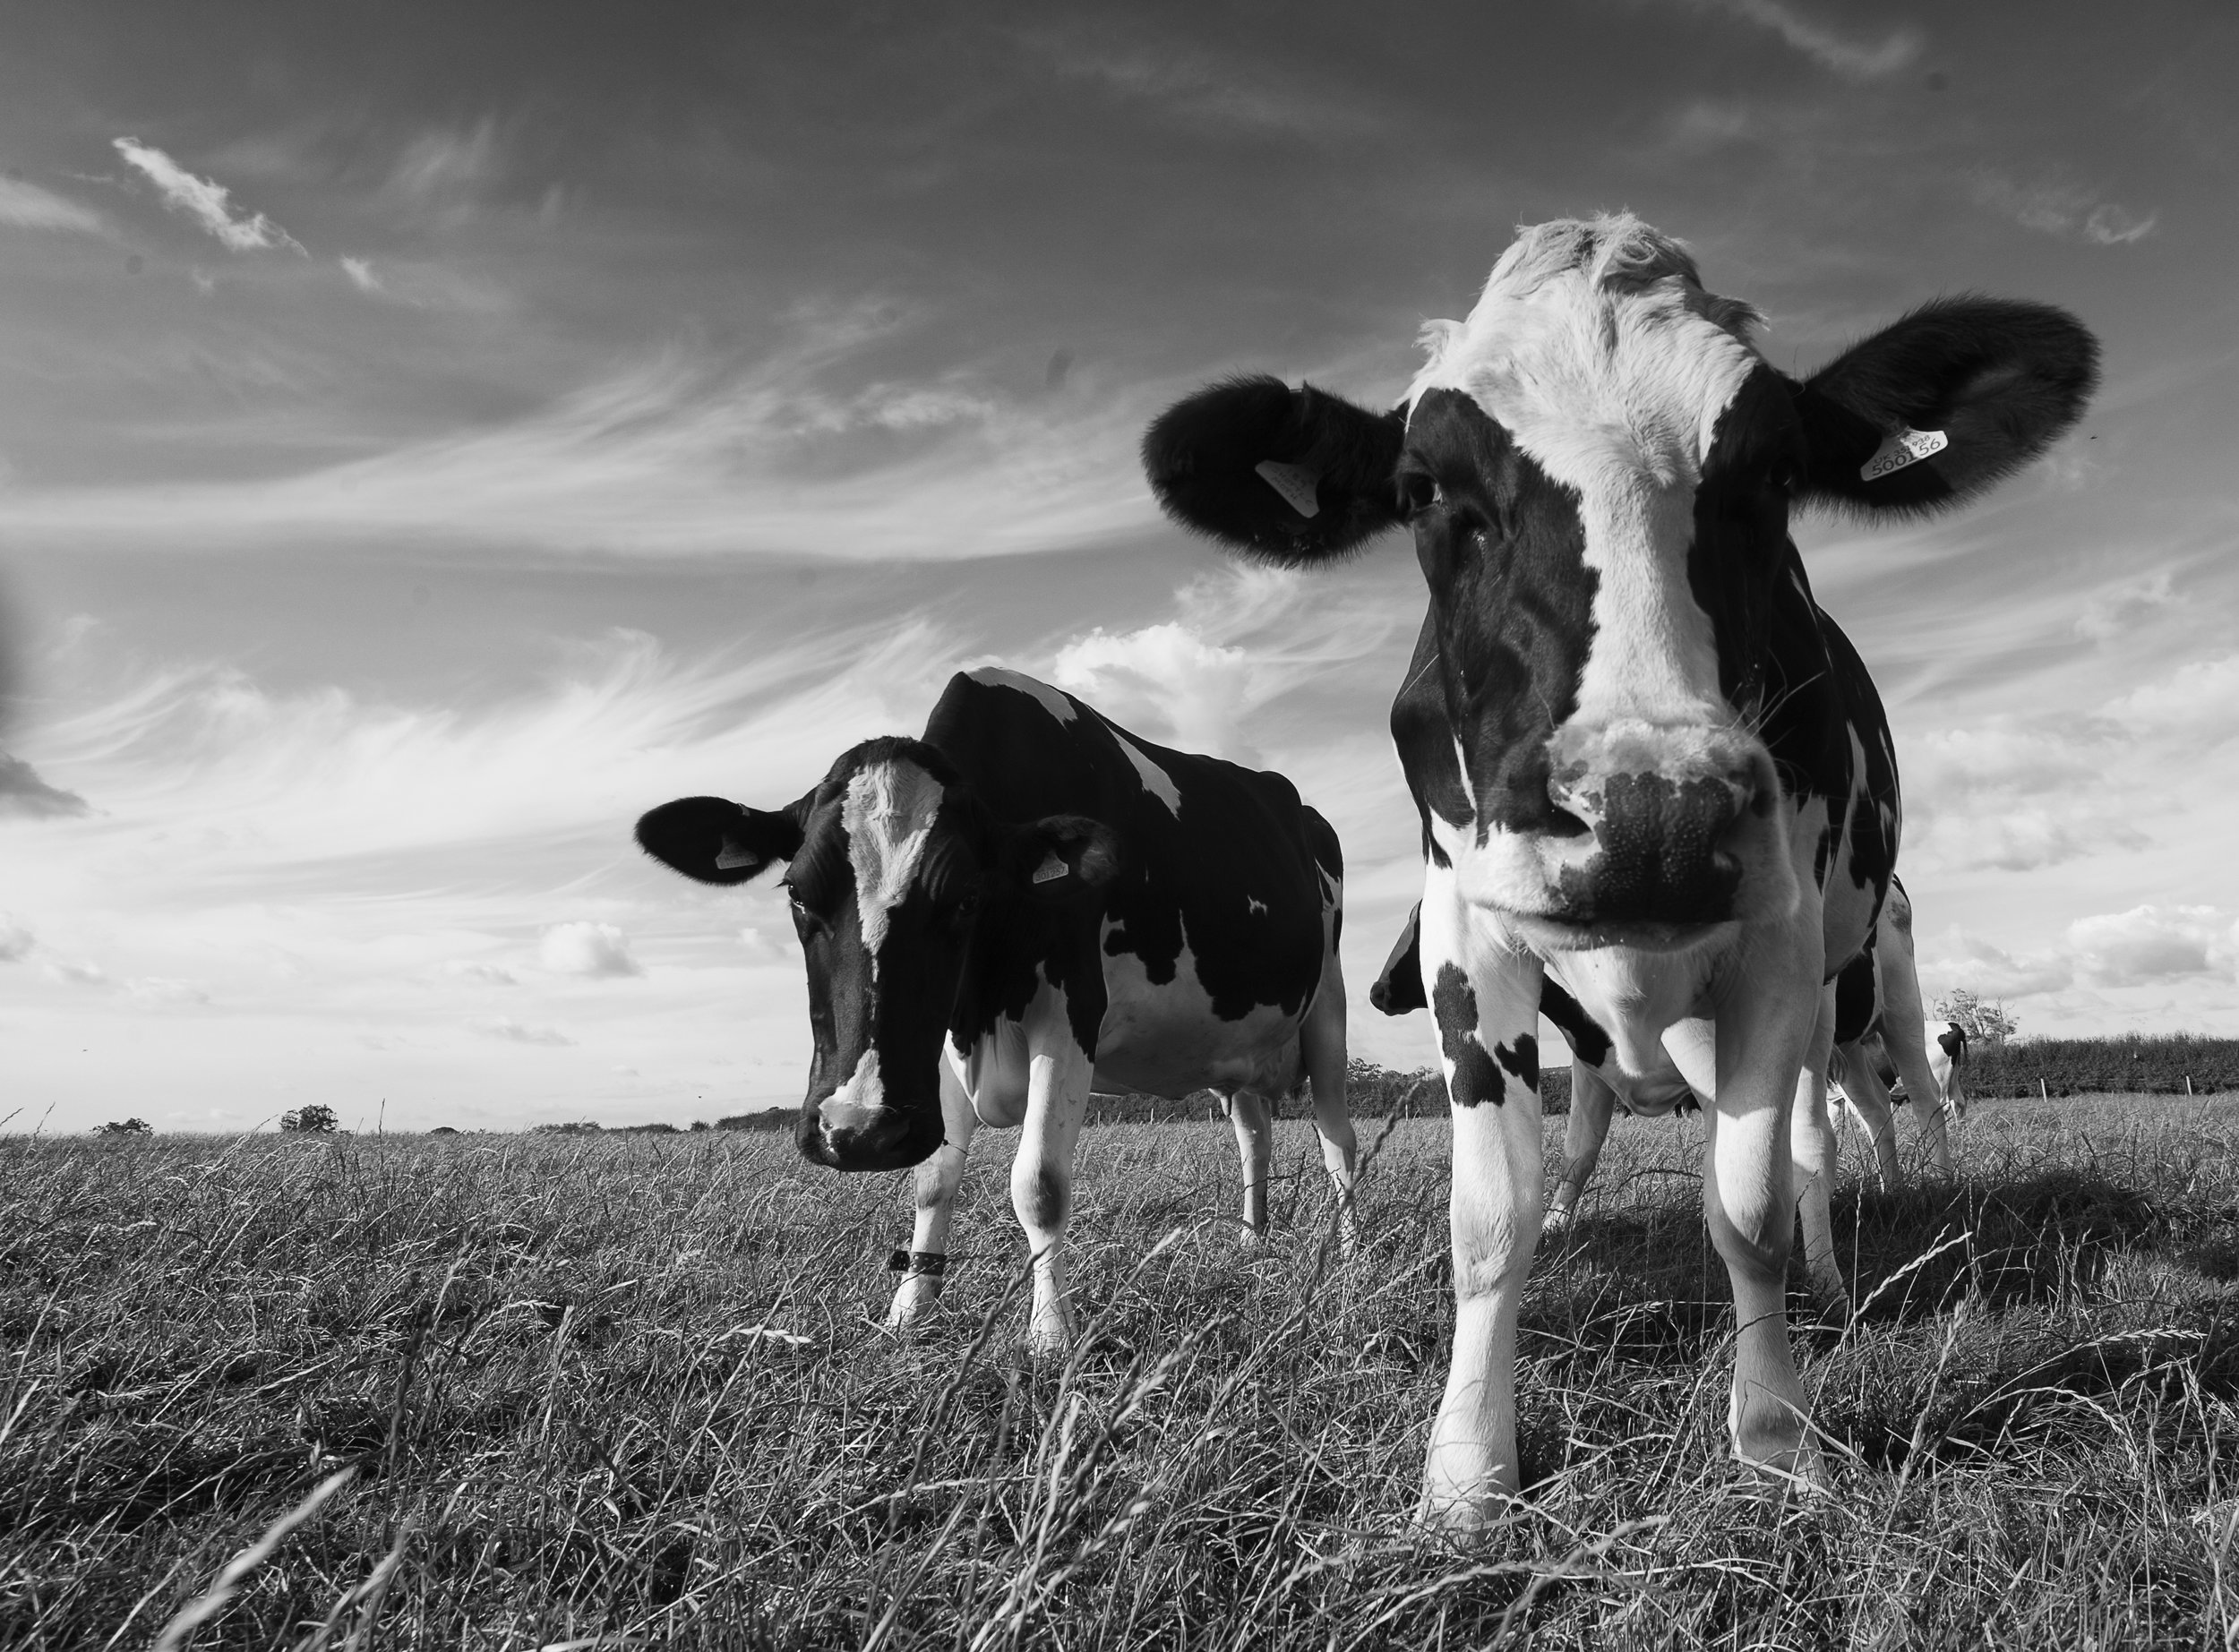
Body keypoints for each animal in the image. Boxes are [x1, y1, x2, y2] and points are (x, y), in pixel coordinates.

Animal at [634, 666, 1355, 1352]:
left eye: (965, 897)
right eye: (797, 893)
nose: (856, 1131)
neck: (981, 1003)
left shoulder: (1071, 1012)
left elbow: (1039, 1181)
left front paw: (1050, 1333)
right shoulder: (939, 1044)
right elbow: (933, 1178)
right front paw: (910, 1311)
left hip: (1330, 1004)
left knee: (1337, 1141)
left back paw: (1349, 1257)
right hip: (1236, 1047)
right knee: (1254, 1135)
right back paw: (1251, 1242)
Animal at [1142, 214, 2096, 1524]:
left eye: (1773, 476)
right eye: (1425, 489)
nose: (1652, 815)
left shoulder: (1776, 941)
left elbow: (1748, 1206)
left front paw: (1777, 1440)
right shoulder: (1467, 938)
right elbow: (1495, 1218)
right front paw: (1466, 1473)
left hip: (1875, 978)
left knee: (1866, 1112)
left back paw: (1869, 1246)